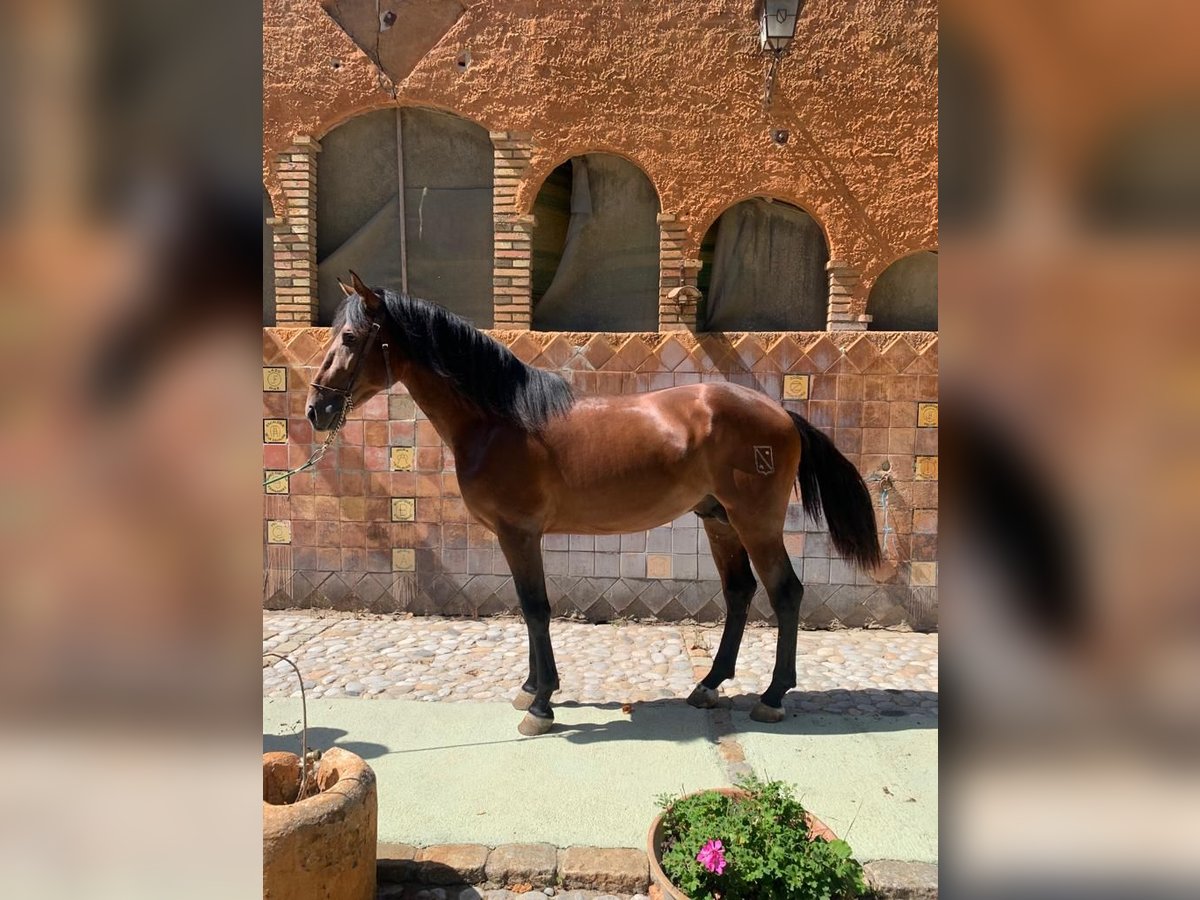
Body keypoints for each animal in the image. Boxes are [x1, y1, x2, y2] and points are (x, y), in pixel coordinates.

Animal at [304, 273, 878, 734]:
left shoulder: (519, 533)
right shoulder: (517, 537)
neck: (500, 420)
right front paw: (532, 688)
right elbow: (528, 609)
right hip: (720, 521)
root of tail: (780, 413)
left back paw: (773, 697)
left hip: (756, 523)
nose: (316, 409)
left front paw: (541, 706)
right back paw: (710, 685)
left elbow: (536, 609)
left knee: (786, 594)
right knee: (739, 593)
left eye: (351, 337)